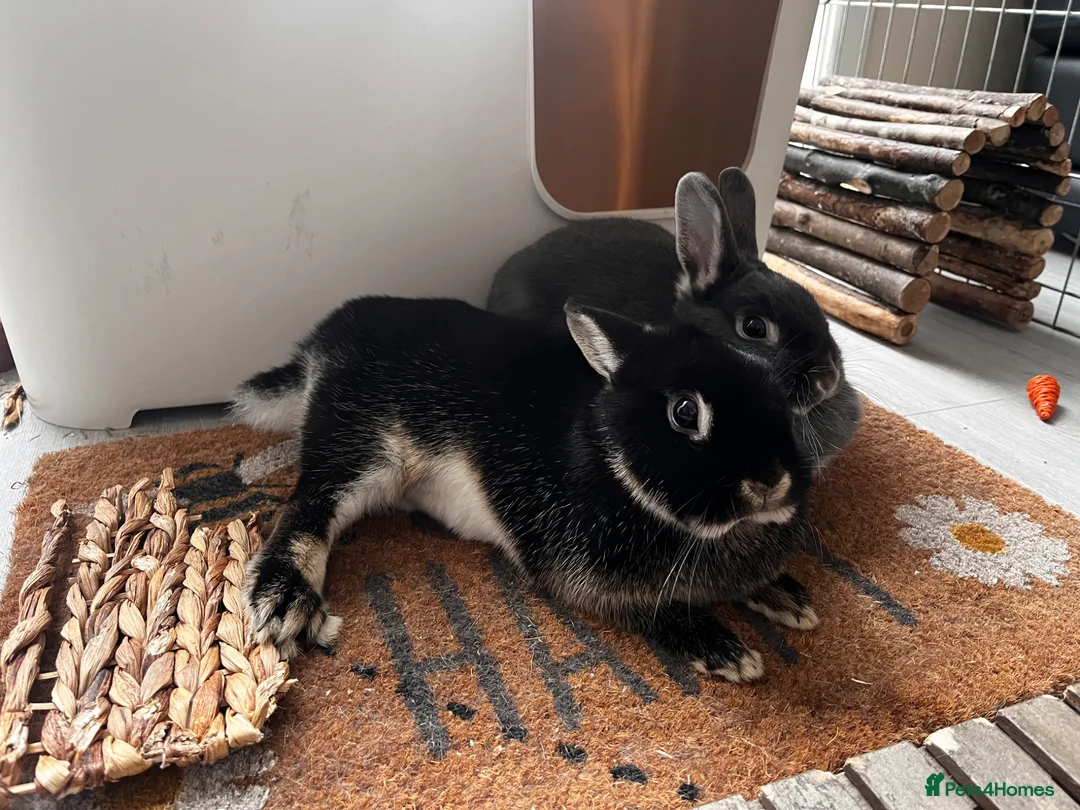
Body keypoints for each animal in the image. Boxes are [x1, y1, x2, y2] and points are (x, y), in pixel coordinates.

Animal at [233, 295, 817, 682]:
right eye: (685, 412)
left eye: (779, 400)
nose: (771, 481)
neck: (609, 455)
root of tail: (322, 343)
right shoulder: (584, 579)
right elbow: (656, 611)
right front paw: (729, 653)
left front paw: (789, 598)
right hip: (363, 443)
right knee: (311, 504)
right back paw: (285, 598)